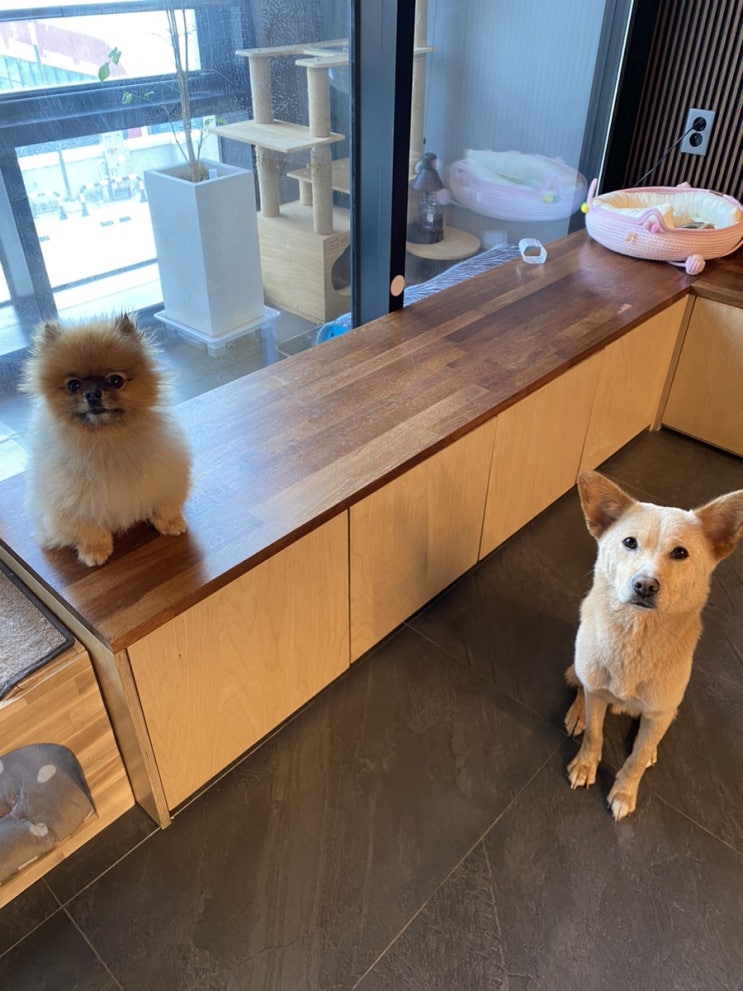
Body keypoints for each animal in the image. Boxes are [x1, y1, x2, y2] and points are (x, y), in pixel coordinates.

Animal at [21, 313, 191, 567]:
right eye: (73, 385)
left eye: (115, 380)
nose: (92, 394)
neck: (106, 439)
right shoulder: (72, 503)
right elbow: (89, 530)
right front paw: (95, 550)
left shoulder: (165, 475)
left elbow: (164, 505)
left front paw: (170, 523)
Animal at [565, 470, 743, 820]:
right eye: (629, 542)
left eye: (680, 553)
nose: (645, 586)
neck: (635, 635)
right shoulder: (597, 692)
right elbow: (594, 733)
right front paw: (585, 764)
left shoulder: (659, 712)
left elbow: (635, 758)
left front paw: (624, 792)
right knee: (580, 686)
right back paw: (578, 711)